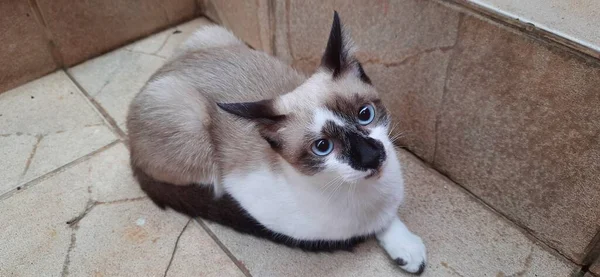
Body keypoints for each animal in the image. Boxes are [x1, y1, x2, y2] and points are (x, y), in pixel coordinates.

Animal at [126, 11, 426, 274]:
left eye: (365, 114)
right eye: (322, 147)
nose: (370, 157)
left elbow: (388, 216)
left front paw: (405, 248)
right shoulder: (241, 191)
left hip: (212, 33)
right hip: (190, 120)